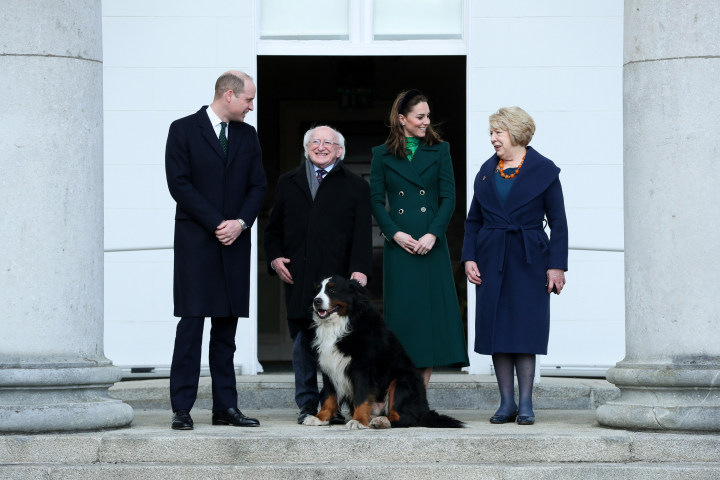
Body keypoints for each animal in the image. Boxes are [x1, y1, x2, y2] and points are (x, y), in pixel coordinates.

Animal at [302, 276, 462, 430]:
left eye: (332, 290)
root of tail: (424, 410)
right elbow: (328, 397)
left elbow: (361, 397)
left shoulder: (363, 368)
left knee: (406, 418)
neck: (341, 324)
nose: (316, 301)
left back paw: (382, 421)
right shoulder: (330, 366)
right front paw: (319, 417)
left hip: (402, 380)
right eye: (317, 291)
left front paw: (358, 421)